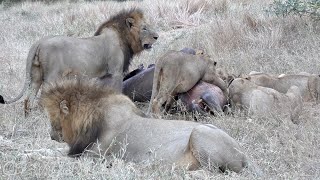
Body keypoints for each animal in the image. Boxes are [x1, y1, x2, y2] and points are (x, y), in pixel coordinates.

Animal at [0, 8, 159, 116]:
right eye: (144, 28)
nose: (157, 36)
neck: (123, 38)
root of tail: (39, 42)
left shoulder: (105, 76)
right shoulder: (116, 72)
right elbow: (117, 90)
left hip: (36, 76)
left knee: (28, 99)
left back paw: (29, 117)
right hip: (51, 77)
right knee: (41, 99)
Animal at [40, 77, 250, 173]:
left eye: (53, 117)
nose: (51, 135)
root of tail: (243, 156)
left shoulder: (92, 155)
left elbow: (57, 156)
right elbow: (53, 151)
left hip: (199, 132)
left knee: (210, 171)